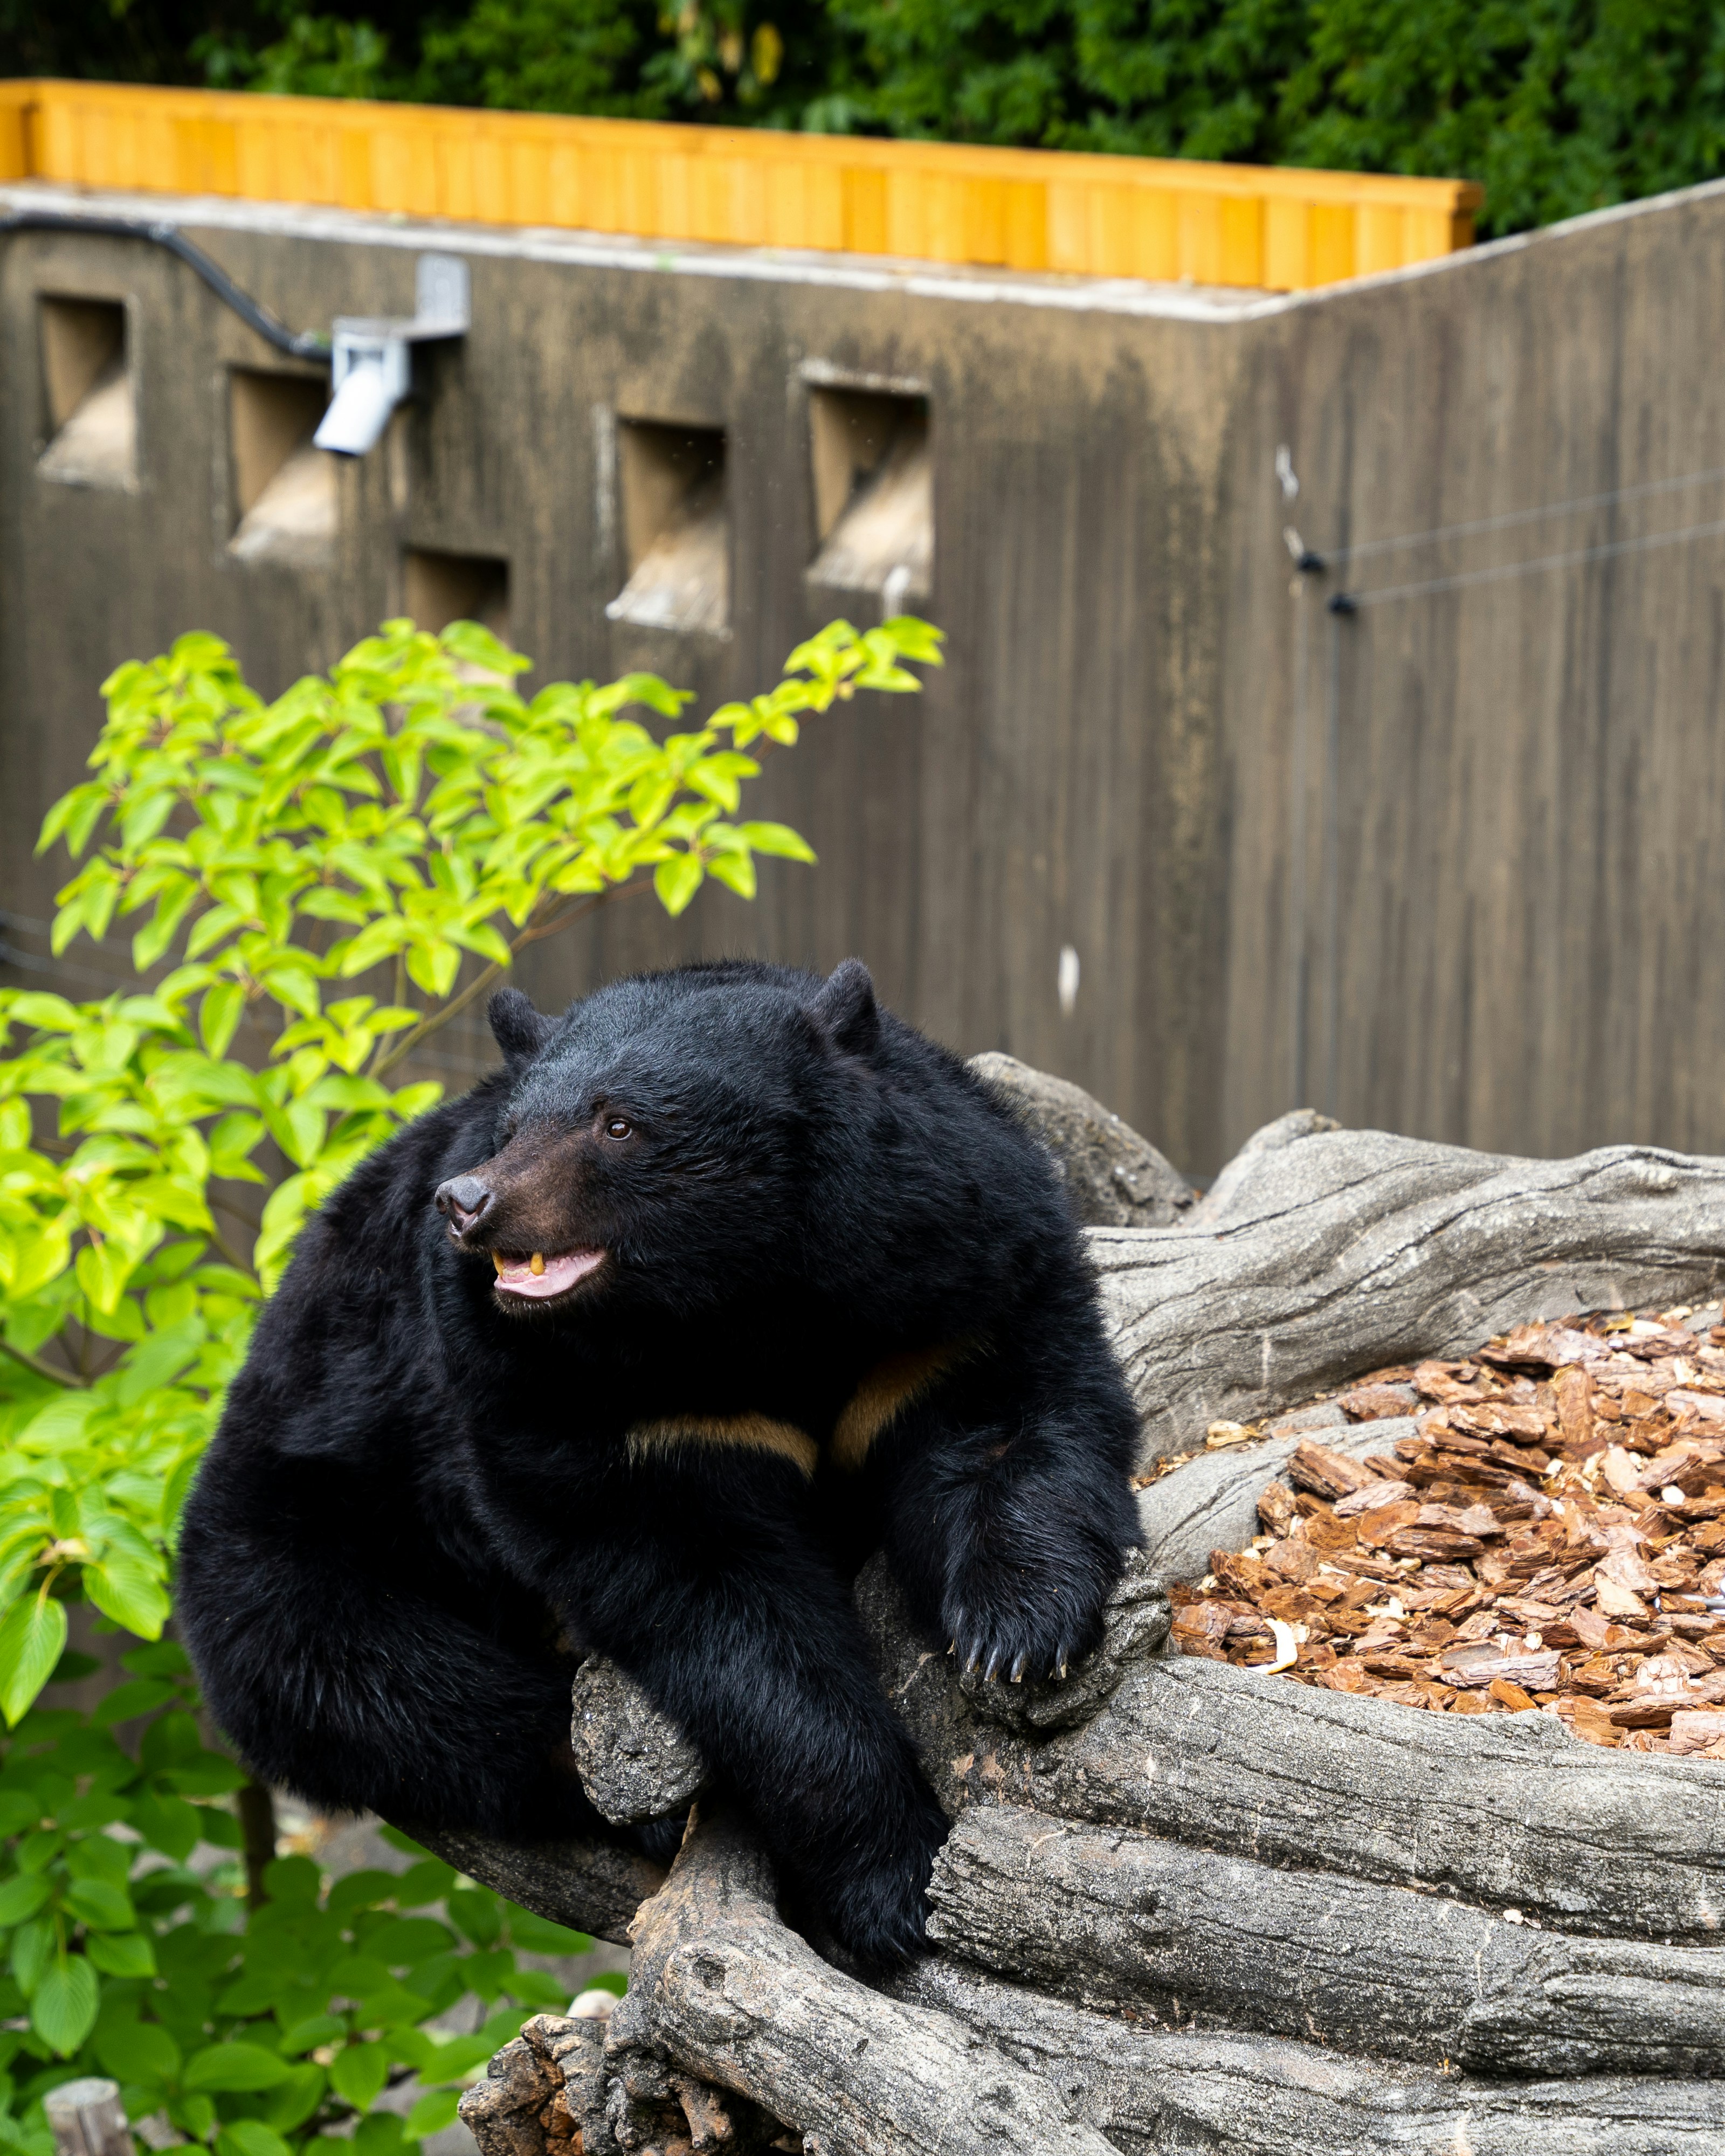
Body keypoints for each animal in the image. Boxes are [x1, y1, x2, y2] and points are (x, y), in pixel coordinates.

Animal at [176, 958, 1143, 1966]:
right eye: (514, 1128)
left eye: (619, 1123)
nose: (469, 1202)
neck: (739, 1305)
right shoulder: (580, 1399)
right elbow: (717, 1603)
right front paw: (894, 1886)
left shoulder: (945, 1285)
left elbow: (1009, 1415)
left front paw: (1020, 1632)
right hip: (301, 1519)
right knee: (377, 1678)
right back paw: (637, 1806)